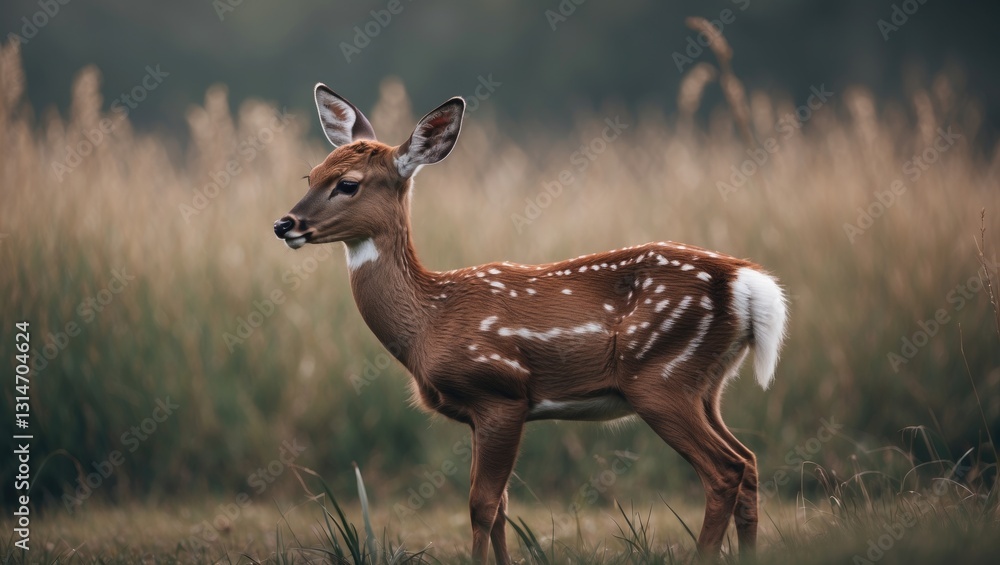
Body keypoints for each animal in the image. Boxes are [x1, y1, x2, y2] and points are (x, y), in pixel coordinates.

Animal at [273, 84, 788, 563]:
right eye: (311, 175)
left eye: (348, 184)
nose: (285, 224)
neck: (429, 321)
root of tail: (747, 282)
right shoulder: (476, 413)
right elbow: (501, 507)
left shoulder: (500, 392)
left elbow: (481, 505)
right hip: (705, 384)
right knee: (748, 463)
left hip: (660, 376)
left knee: (724, 471)